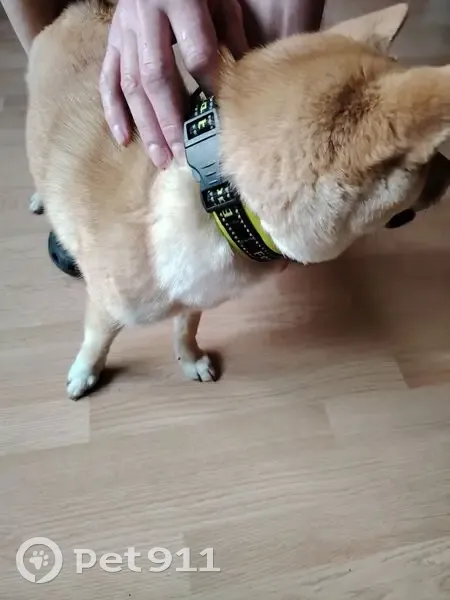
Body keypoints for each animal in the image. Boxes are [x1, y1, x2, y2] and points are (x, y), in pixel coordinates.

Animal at [25, 1, 450, 399]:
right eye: (427, 163)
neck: (216, 197)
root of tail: (93, 9)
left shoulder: (195, 295)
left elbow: (185, 327)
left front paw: (190, 358)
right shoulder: (108, 302)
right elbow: (97, 339)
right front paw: (85, 371)